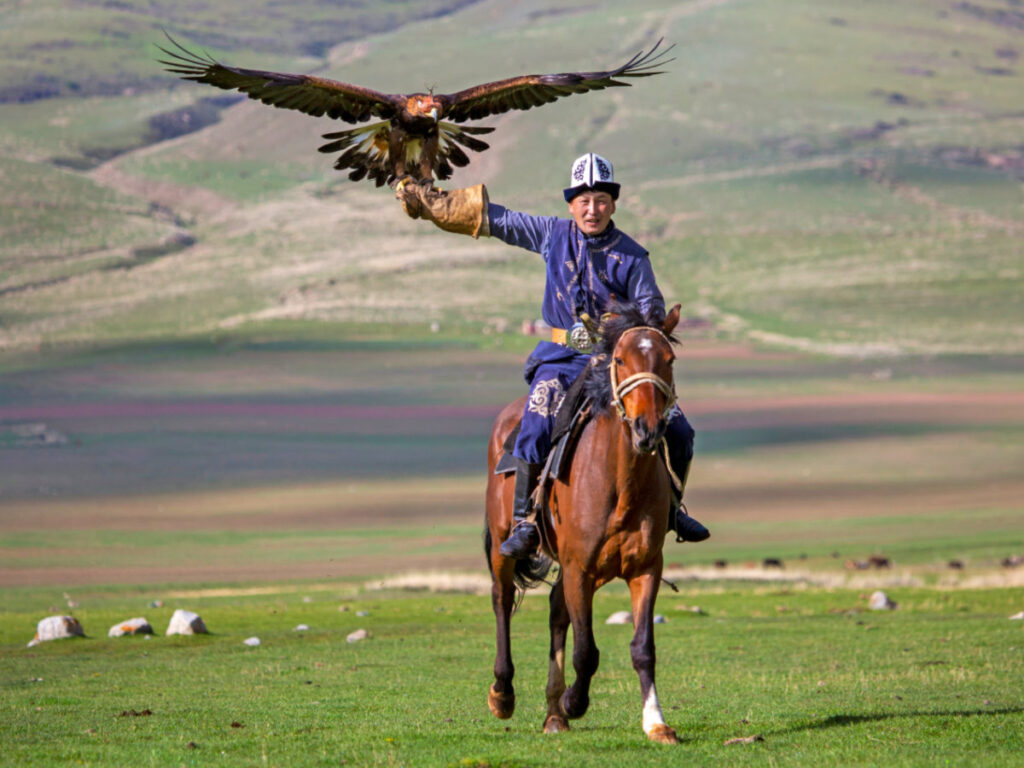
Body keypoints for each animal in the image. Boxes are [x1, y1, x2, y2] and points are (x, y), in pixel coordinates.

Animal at [483, 302, 683, 744]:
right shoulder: (581, 570)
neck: (621, 483)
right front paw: (576, 702)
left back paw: (553, 713)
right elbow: (586, 651)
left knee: (556, 611)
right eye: (620, 360)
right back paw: (504, 694)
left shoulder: (645, 569)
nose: (648, 429)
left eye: (669, 359)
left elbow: (643, 649)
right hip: (504, 546)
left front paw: (656, 723)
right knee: (502, 600)